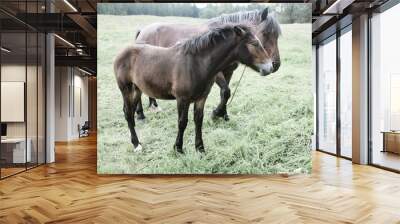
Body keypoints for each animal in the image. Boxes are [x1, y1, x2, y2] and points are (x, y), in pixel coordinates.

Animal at [114, 25, 274, 154]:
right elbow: (182, 122)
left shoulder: (201, 98)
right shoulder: (182, 99)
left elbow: (198, 120)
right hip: (126, 89)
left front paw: (200, 149)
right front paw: (178, 148)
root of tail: (122, 52)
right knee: (128, 113)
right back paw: (136, 144)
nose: (270, 67)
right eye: (254, 43)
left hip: (137, 89)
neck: (196, 64)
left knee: (131, 111)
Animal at [134, 7, 282, 121]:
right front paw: (216, 113)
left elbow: (225, 93)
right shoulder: (216, 73)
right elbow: (226, 91)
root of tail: (142, 31)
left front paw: (223, 114)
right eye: (265, 33)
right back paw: (140, 114)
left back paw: (154, 106)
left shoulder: (228, 71)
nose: (275, 65)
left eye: (277, 36)